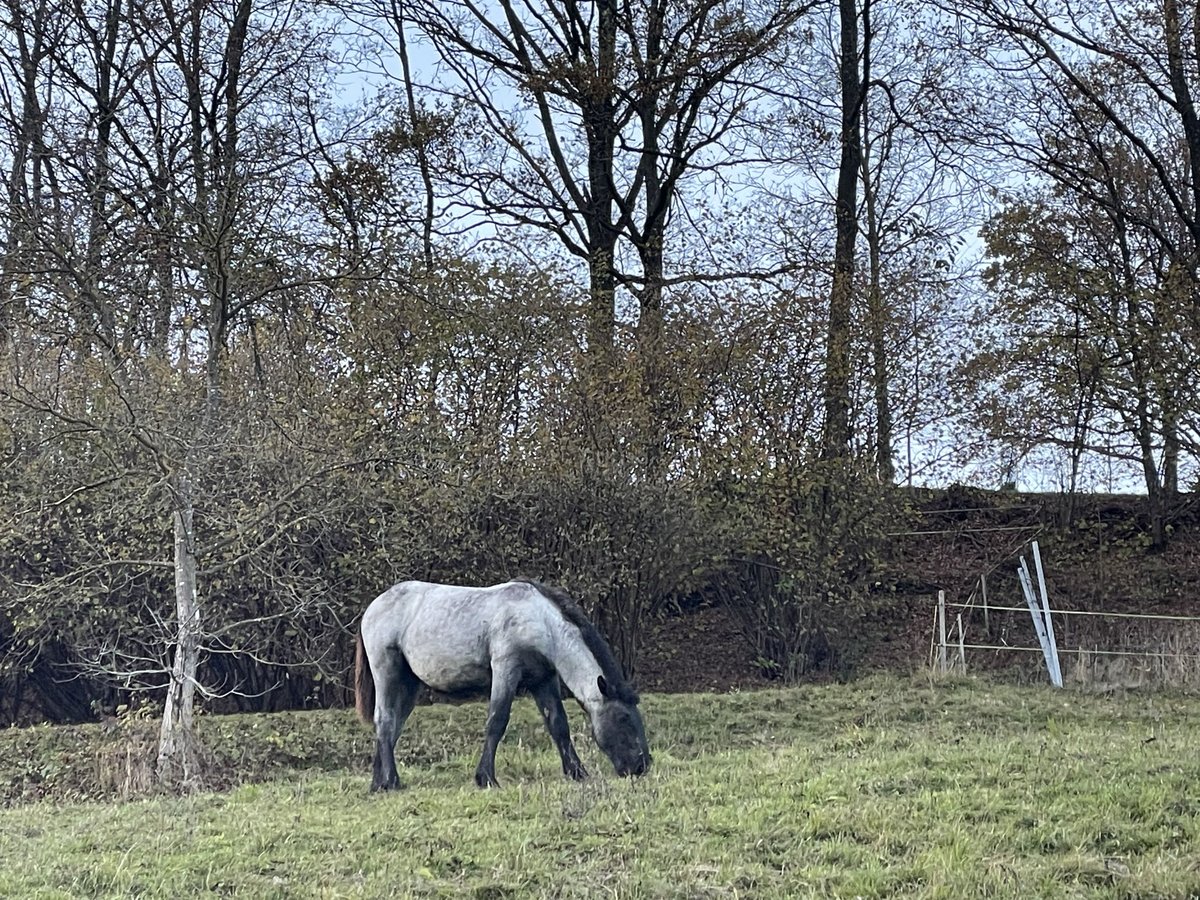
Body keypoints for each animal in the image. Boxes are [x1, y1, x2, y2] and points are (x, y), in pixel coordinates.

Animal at [355, 580, 652, 792]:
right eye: (624, 718)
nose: (642, 765)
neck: (539, 620)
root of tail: (373, 607)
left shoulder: (543, 680)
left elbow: (558, 725)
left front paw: (577, 772)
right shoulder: (505, 670)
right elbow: (497, 721)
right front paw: (486, 778)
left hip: (409, 684)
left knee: (392, 727)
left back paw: (378, 782)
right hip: (387, 672)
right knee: (385, 720)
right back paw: (392, 782)